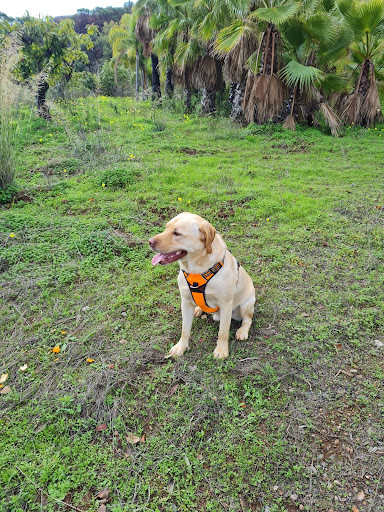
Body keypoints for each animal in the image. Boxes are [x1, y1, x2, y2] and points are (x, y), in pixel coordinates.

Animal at [149, 213, 255, 360]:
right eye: (166, 228)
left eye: (177, 233)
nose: (149, 241)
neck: (196, 269)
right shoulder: (185, 302)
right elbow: (185, 330)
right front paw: (181, 347)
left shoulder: (226, 304)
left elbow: (223, 332)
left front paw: (221, 350)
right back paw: (199, 309)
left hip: (246, 304)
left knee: (248, 320)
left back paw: (242, 331)